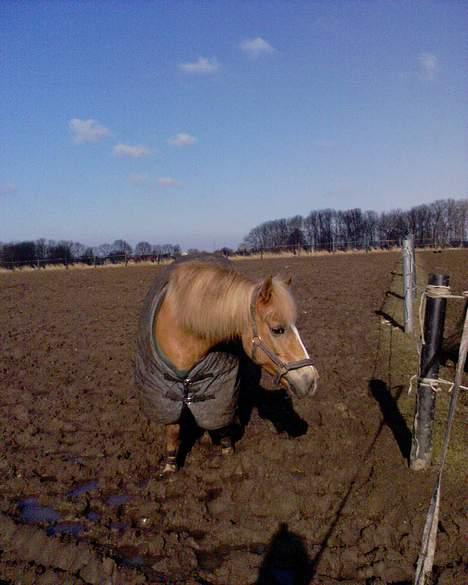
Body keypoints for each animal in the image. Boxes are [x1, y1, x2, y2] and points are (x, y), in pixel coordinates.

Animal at [134, 256, 318, 474]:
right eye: (277, 329)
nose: (311, 380)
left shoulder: (220, 387)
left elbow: (220, 419)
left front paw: (227, 452)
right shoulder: (163, 392)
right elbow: (172, 428)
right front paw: (170, 468)